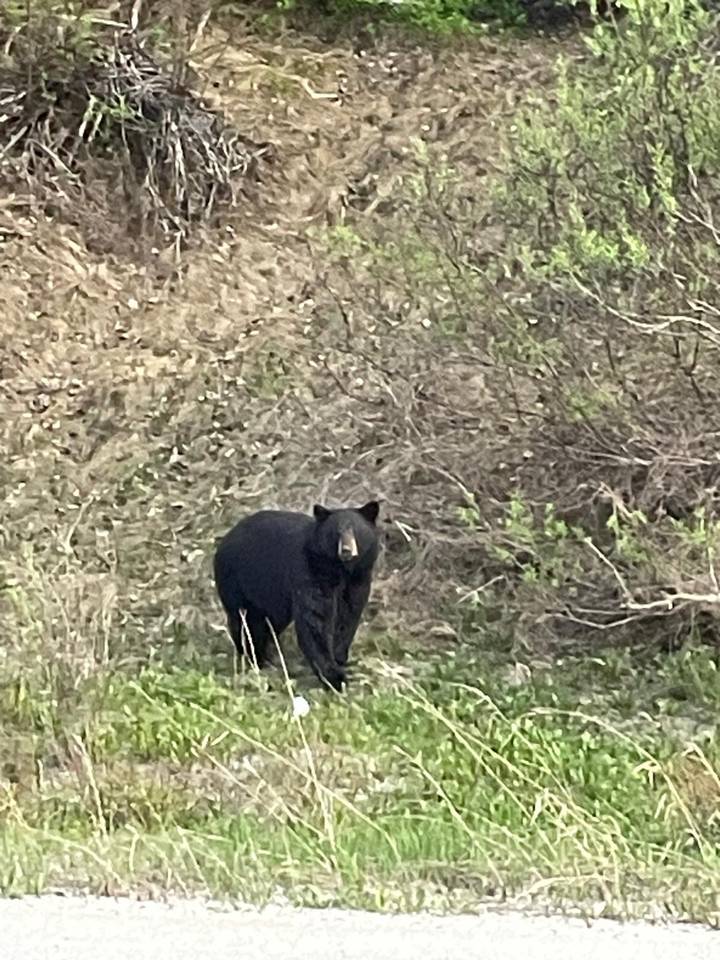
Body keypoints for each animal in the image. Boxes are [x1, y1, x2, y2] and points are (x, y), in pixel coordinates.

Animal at [213, 500, 381, 691]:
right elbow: (315, 618)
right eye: (336, 532)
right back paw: (255, 658)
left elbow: (347, 618)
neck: (340, 570)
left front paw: (339, 659)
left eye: (356, 530)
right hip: (238, 581)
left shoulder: (358, 581)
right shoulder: (310, 572)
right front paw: (334, 677)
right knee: (246, 622)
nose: (346, 550)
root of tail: (224, 539)